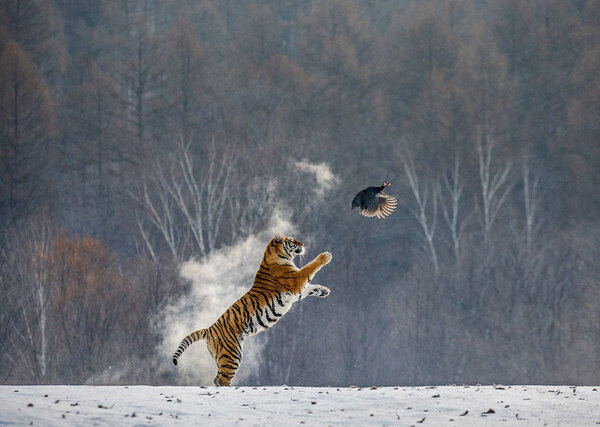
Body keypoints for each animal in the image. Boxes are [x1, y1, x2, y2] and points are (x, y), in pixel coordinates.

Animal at [172, 234, 332, 388]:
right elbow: (309, 267)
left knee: (217, 378)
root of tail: (209, 329)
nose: (303, 244)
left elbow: (311, 287)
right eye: (292, 240)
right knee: (222, 379)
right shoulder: (296, 280)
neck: (277, 256)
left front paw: (324, 291)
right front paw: (325, 256)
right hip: (232, 354)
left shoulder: (297, 291)